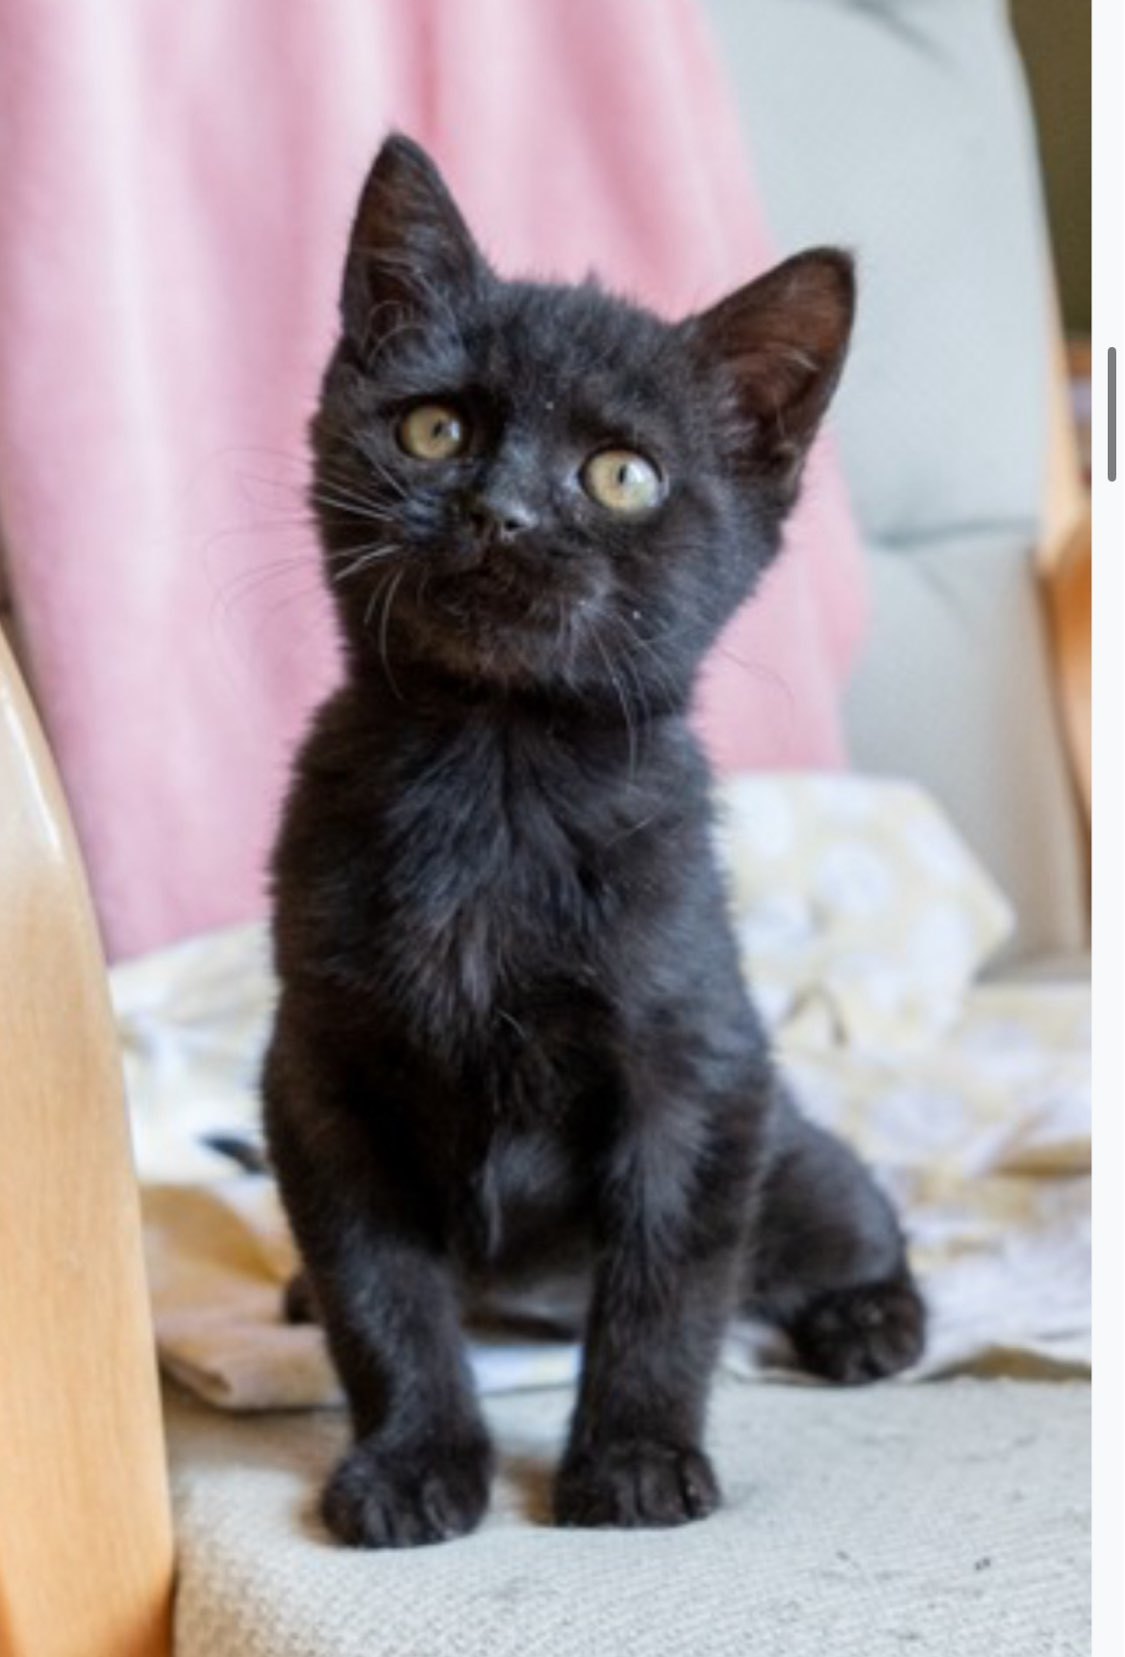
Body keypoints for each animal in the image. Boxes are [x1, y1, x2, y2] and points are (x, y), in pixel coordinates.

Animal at [266, 135, 921, 1544]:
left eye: (623, 476)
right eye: (436, 427)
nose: (499, 513)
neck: (496, 773)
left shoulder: (695, 1070)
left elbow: (666, 1285)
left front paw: (632, 1457)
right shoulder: (319, 1075)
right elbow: (377, 1293)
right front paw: (413, 1458)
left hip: (786, 1140)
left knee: (851, 1210)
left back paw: (871, 1316)